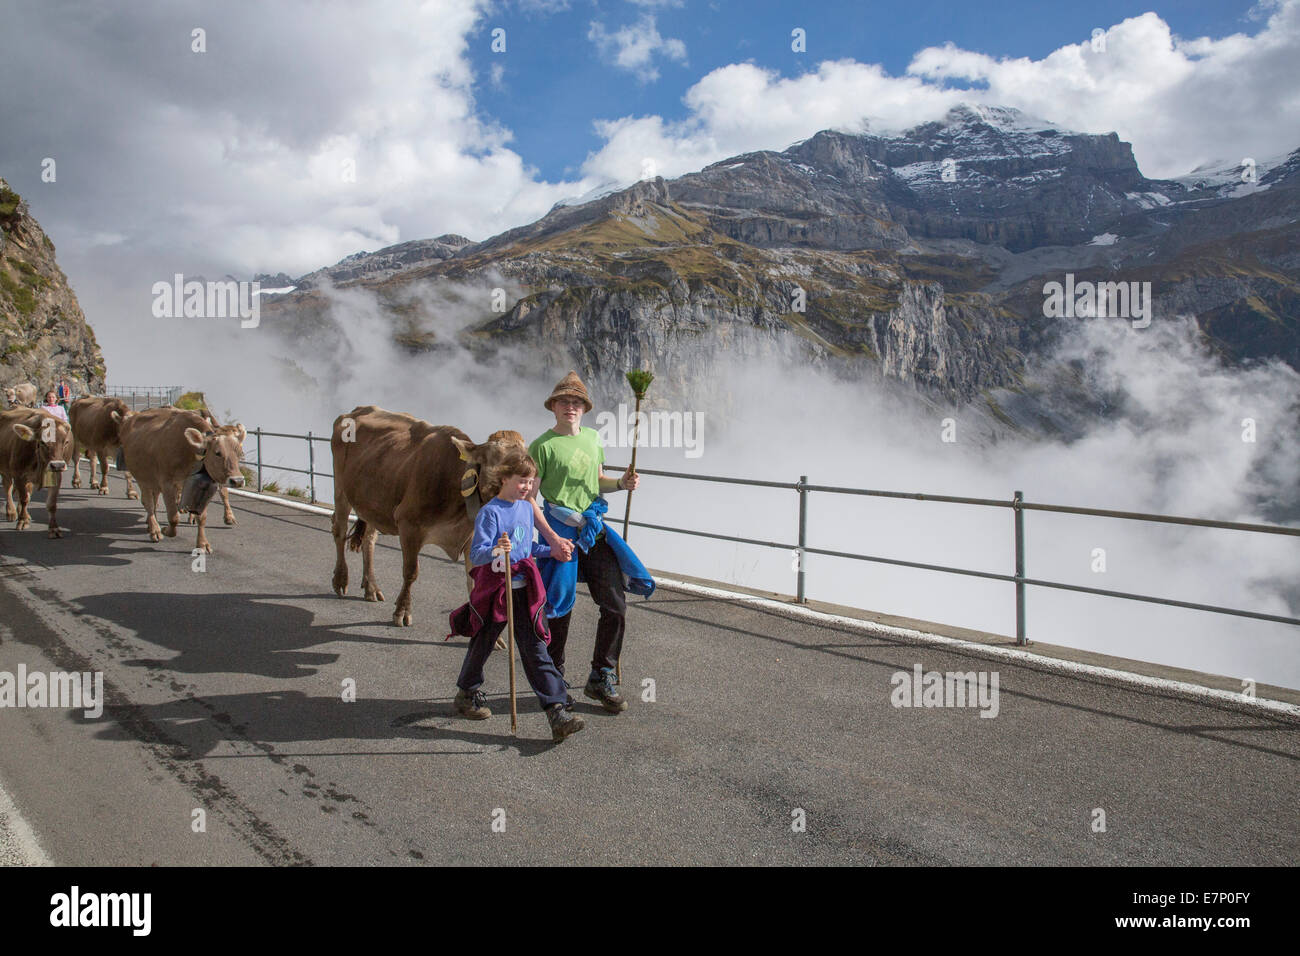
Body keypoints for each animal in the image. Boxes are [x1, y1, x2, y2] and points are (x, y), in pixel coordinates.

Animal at [0, 405, 73, 535]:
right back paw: (11, 512)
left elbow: (51, 504)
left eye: (66, 442)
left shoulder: (56, 475)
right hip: (5, 469)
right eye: (43, 442)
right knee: (8, 487)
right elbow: (24, 498)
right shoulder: (18, 474)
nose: (58, 465)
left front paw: (54, 528)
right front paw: (22, 521)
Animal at [119, 405, 248, 554]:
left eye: (240, 453)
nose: (238, 480)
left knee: (154, 499)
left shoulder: (205, 485)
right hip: (142, 477)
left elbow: (202, 517)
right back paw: (154, 530)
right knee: (148, 503)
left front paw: (202, 544)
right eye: (217, 453)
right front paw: (166, 530)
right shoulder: (167, 483)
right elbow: (173, 517)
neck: (189, 452)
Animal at [330, 403, 564, 629]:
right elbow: (410, 571)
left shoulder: (472, 539)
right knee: (339, 532)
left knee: (369, 540)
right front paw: (402, 611)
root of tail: (356, 410)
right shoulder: (409, 524)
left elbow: (476, 581)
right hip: (341, 488)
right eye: (499, 470)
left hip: (373, 503)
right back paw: (341, 580)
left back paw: (371, 587)